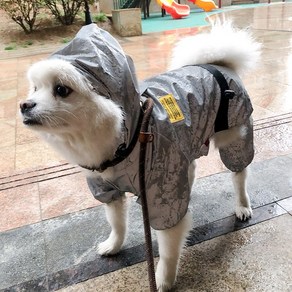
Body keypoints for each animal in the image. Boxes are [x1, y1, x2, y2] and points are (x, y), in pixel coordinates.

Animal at [21, 22, 262, 290]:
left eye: (61, 89)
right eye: (35, 88)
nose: (25, 105)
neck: (128, 137)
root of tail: (218, 64)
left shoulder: (160, 196)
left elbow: (168, 250)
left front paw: (163, 281)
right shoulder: (109, 189)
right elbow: (117, 223)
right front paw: (113, 245)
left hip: (235, 138)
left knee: (239, 174)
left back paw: (242, 205)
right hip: (186, 146)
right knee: (190, 169)